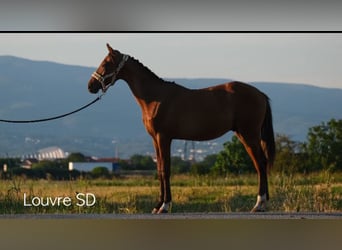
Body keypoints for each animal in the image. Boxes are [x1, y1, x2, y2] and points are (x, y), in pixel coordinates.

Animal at [88, 44, 276, 212]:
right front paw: (157, 205)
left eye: (106, 63)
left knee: (260, 164)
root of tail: (261, 94)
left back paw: (259, 203)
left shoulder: (164, 137)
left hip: (249, 135)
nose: (90, 86)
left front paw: (165, 205)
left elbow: (166, 169)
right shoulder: (155, 139)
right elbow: (159, 169)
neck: (155, 98)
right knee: (261, 164)